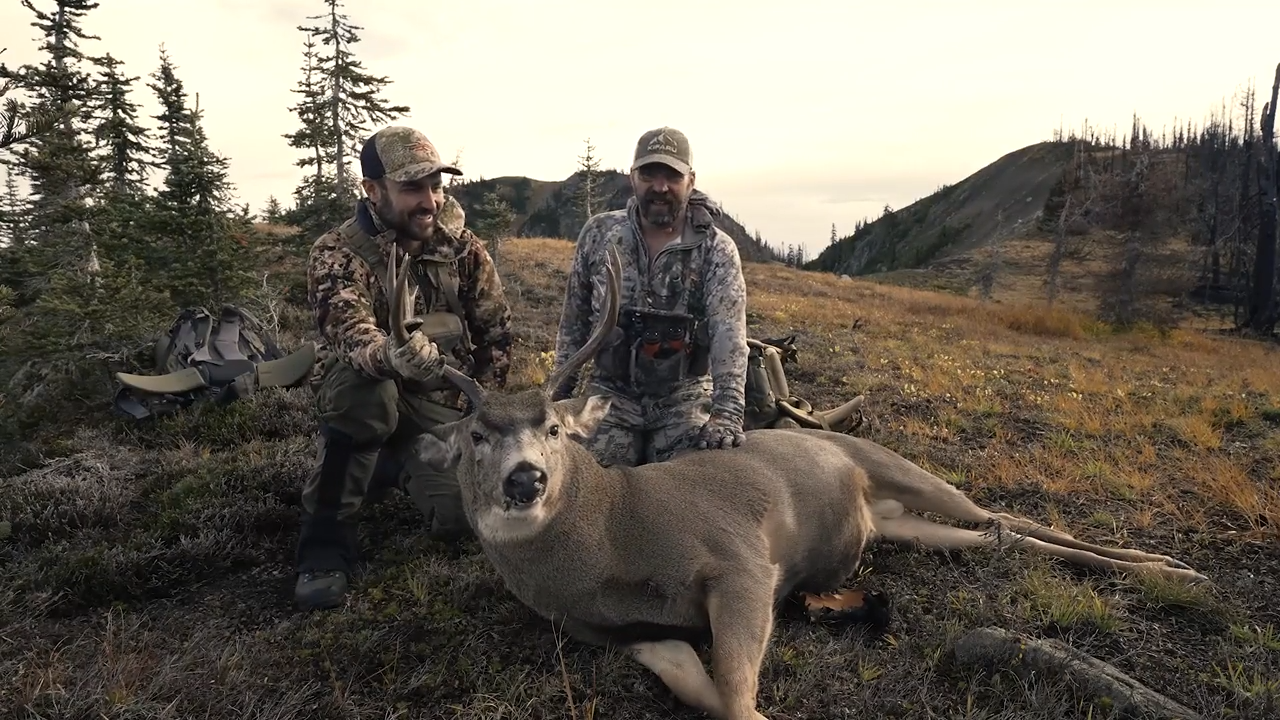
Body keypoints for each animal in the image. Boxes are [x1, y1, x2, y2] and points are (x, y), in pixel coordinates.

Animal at [388, 245, 1209, 720]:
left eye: (556, 429)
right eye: (474, 438)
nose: (525, 480)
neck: (613, 548)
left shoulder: (741, 561)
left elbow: (736, 695)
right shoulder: (617, 633)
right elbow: (696, 681)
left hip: (898, 466)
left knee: (1015, 516)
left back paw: (1174, 568)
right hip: (900, 523)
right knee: (1002, 535)